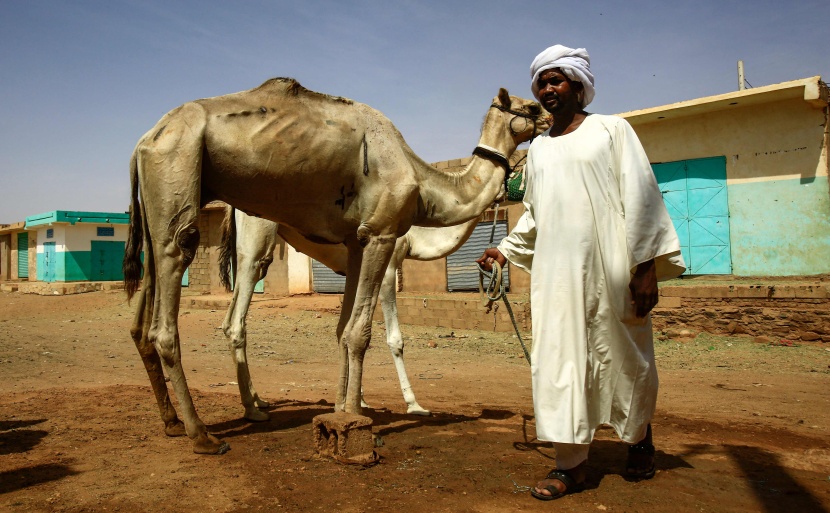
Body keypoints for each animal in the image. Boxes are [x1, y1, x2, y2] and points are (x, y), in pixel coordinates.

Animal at [123, 77, 548, 452]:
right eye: (530, 107)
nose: (549, 117)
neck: (424, 188)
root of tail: (144, 141)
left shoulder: (355, 242)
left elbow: (343, 331)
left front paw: (344, 408)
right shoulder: (383, 240)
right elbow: (371, 335)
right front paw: (392, 411)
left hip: (161, 198)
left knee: (147, 304)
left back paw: (179, 420)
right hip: (188, 180)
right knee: (185, 294)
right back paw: (206, 432)